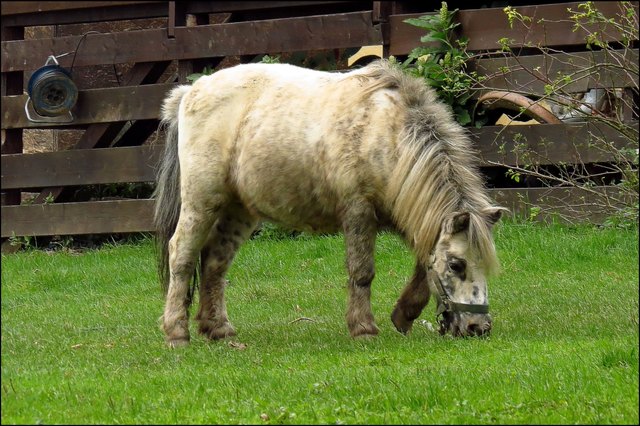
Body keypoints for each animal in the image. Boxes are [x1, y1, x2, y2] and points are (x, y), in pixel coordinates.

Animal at [153, 59, 506, 347]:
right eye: (457, 265)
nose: (478, 327)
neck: (388, 133)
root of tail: (191, 91)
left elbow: (423, 265)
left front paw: (403, 315)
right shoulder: (359, 213)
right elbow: (362, 272)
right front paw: (363, 328)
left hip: (238, 212)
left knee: (215, 262)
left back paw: (218, 328)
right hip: (201, 203)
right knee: (181, 256)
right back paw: (177, 332)